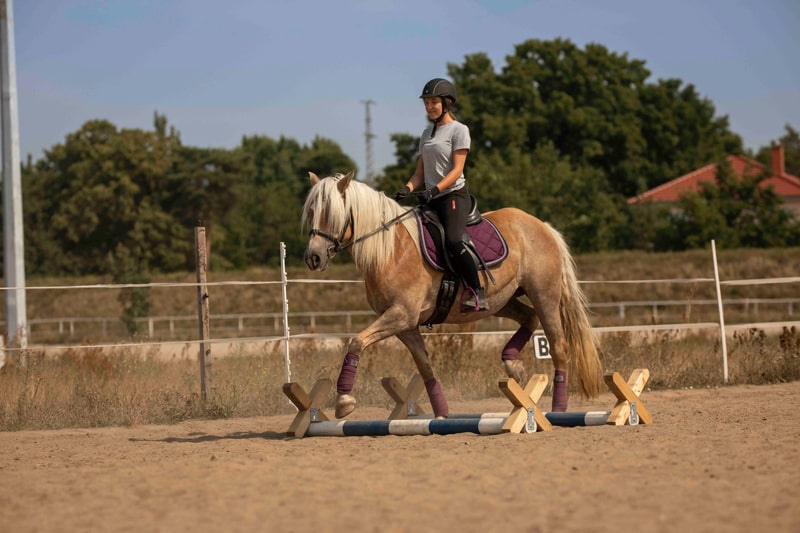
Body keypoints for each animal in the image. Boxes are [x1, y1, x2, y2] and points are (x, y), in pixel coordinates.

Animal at [304, 170, 604, 420]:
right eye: (312, 211)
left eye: (330, 213)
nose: (313, 258)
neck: (391, 249)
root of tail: (542, 226)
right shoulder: (405, 325)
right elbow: (425, 367)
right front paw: (442, 413)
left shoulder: (401, 315)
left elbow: (356, 342)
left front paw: (344, 400)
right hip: (501, 301)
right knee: (529, 318)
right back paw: (513, 365)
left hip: (545, 295)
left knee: (558, 346)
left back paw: (558, 408)